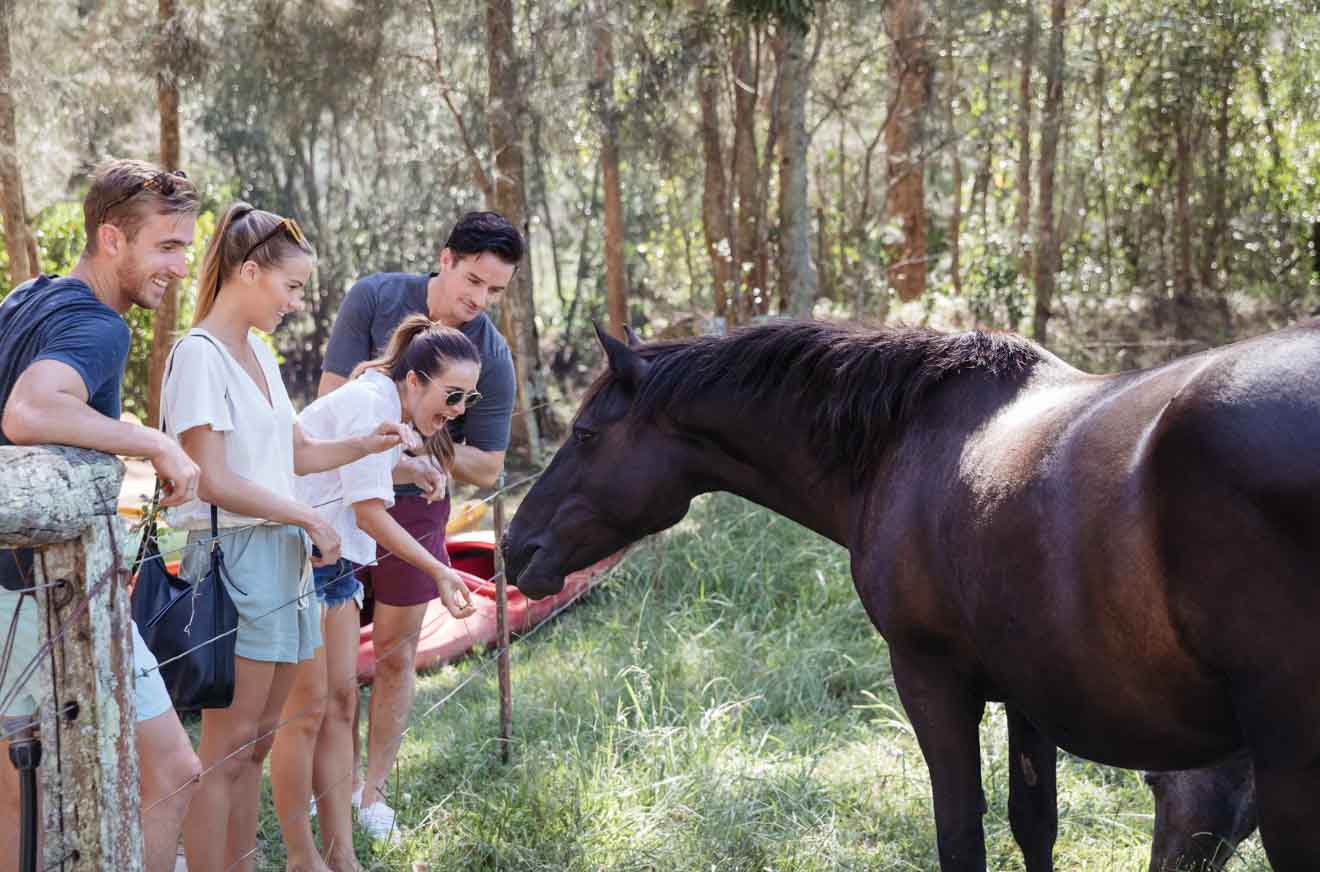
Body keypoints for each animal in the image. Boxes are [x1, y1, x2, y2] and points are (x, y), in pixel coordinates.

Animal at [501, 321, 1309, 870]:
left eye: (584, 433)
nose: (516, 549)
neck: (901, 441)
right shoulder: (1029, 694)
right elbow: (1033, 825)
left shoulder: (931, 682)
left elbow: (961, 835)